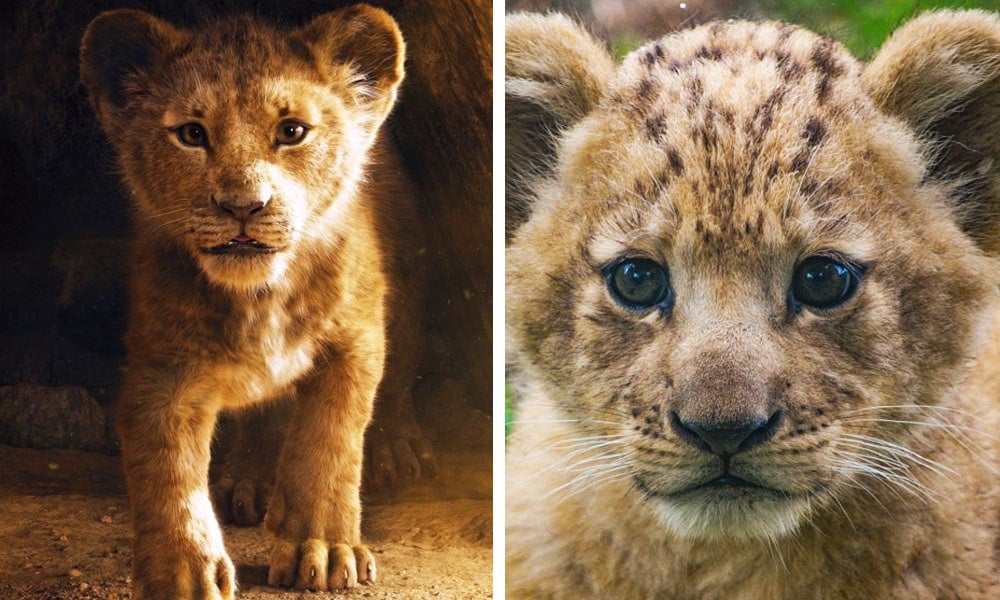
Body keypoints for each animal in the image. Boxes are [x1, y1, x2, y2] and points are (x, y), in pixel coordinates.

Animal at [79, 5, 424, 596]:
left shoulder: (354, 340)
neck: (259, 295)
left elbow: (330, 442)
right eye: (191, 134)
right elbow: (166, 467)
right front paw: (180, 570)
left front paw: (323, 548)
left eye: (292, 132)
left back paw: (396, 450)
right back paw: (251, 480)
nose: (243, 206)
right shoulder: (162, 367)